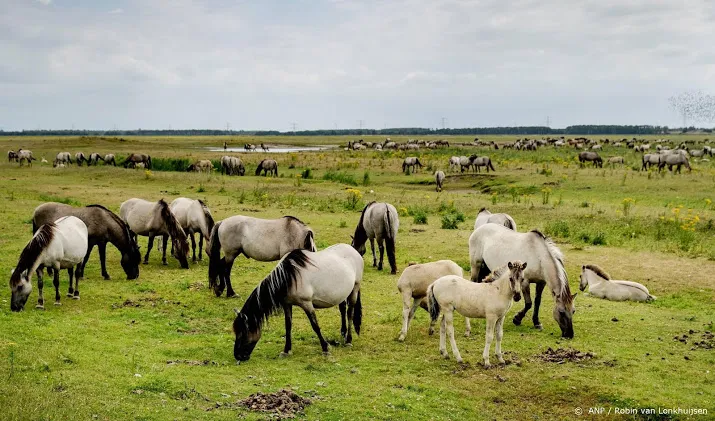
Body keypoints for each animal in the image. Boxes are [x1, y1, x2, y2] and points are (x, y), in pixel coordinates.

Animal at [232, 243, 364, 360]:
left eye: (243, 333)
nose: (238, 356)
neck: (289, 277)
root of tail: (353, 250)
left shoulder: (307, 304)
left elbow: (315, 326)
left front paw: (325, 348)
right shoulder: (287, 304)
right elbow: (288, 326)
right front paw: (286, 350)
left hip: (355, 288)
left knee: (350, 313)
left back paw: (348, 340)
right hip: (342, 293)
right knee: (343, 309)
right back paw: (343, 333)